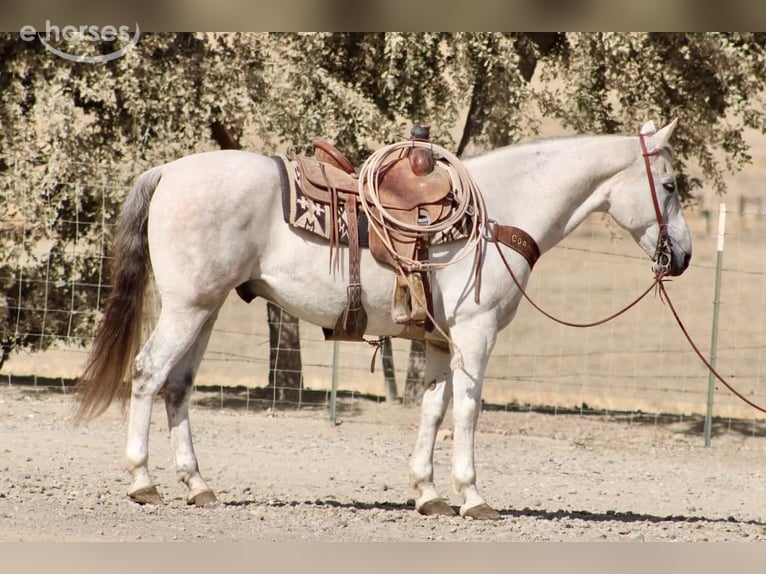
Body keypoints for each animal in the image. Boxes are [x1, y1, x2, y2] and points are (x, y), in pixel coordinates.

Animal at [74, 119, 692, 520]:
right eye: (669, 185)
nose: (682, 256)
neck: (499, 211)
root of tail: (169, 172)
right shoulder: (476, 333)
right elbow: (467, 412)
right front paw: (473, 497)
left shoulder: (441, 342)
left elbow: (433, 409)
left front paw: (428, 494)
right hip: (188, 307)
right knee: (148, 373)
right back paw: (143, 481)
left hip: (205, 309)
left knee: (177, 386)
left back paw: (198, 485)